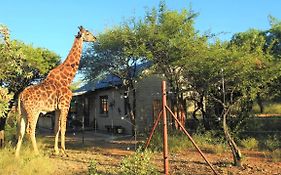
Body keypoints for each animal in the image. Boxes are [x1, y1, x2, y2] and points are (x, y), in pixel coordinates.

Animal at [15, 26, 96, 157]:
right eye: (88, 33)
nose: (95, 38)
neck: (67, 79)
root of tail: (20, 96)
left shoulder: (57, 108)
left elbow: (56, 128)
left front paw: (56, 150)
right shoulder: (65, 105)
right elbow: (63, 128)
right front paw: (64, 151)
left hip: (22, 111)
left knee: (21, 131)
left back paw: (16, 155)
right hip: (34, 111)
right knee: (30, 130)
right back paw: (37, 153)